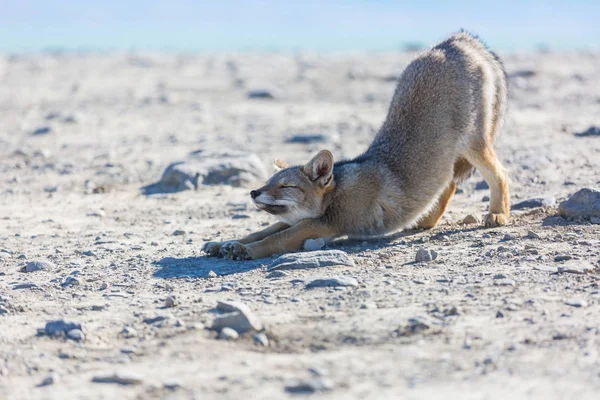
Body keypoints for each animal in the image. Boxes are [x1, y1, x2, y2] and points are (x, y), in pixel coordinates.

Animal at [204, 31, 508, 260]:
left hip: (473, 145)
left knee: (500, 174)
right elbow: (259, 231)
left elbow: (273, 241)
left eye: (286, 186)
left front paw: (244, 250)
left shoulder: (323, 225)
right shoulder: (299, 220)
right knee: (449, 183)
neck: (337, 192)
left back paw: (497, 214)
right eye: (267, 183)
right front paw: (224, 243)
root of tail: (456, 39)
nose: (254, 192)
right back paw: (425, 221)